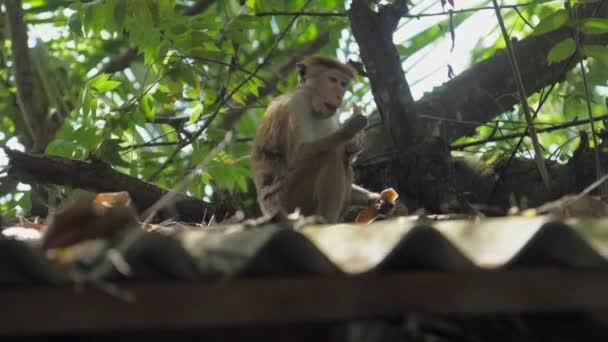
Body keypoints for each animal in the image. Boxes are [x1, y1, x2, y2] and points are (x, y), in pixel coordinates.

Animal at [251, 54, 396, 223]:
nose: (339, 95)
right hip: (287, 200)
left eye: (343, 84)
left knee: (343, 162)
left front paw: (378, 201)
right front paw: (350, 128)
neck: (312, 102)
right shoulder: (297, 103)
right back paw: (325, 221)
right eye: (332, 80)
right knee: (329, 156)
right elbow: (298, 154)